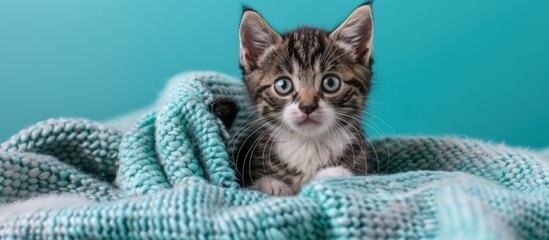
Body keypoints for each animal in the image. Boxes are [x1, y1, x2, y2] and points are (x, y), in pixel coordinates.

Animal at [233, 3, 374, 195]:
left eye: (330, 83)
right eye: (283, 85)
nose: (307, 106)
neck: (309, 144)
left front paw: (333, 174)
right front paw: (270, 185)